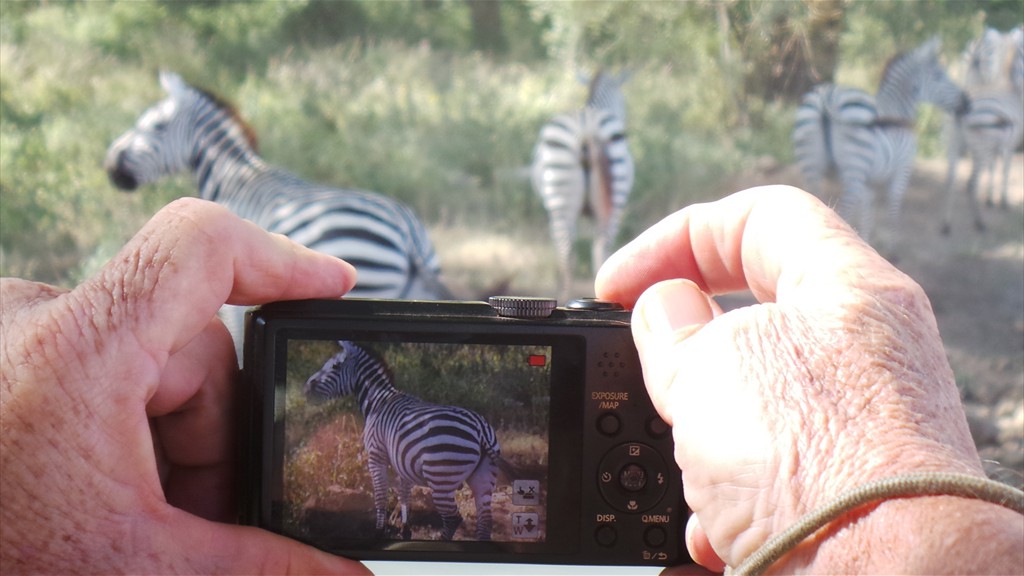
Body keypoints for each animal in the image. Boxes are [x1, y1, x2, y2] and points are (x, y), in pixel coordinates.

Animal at [103, 72, 452, 350]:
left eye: (157, 126)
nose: (110, 167)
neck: (234, 178)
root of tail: (407, 232)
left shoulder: (234, 299)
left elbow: (237, 343)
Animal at [299, 338, 552, 541]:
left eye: (335, 366)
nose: (305, 389)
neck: (378, 401)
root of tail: (480, 429)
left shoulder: (376, 456)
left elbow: (380, 495)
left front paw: (379, 532)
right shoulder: (401, 462)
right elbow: (404, 494)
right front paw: (405, 530)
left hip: (442, 479)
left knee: (453, 519)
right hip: (484, 476)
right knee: (484, 521)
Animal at [790, 35, 966, 251]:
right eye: (939, 75)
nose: (967, 103)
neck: (898, 109)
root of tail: (827, 96)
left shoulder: (868, 183)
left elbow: (867, 214)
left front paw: (866, 241)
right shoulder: (902, 169)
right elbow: (893, 209)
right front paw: (891, 250)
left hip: (811, 162)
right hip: (854, 166)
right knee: (842, 212)